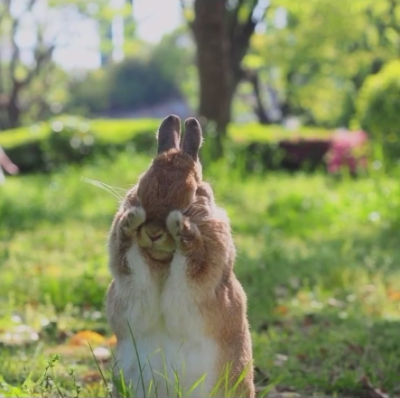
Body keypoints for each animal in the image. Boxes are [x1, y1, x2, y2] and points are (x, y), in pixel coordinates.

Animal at [105, 115, 253, 398]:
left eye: (192, 196)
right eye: (139, 190)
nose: (153, 232)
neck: (162, 260)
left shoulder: (200, 279)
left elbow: (191, 263)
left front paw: (181, 227)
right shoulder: (132, 280)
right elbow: (131, 259)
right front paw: (130, 221)